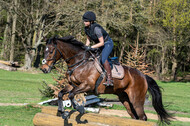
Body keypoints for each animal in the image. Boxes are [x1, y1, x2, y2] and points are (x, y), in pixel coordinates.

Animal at [40, 35, 171, 124]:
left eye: (51, 51)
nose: (44, 69)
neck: (79, 62)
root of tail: (143, 76)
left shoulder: (87, 86)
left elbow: (72, 95)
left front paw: (79, 109)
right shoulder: (73, 85)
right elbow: (61, 94)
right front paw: (62, 111)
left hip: (136, 99)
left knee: (142, 117)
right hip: (125, 98)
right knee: (134, 116)